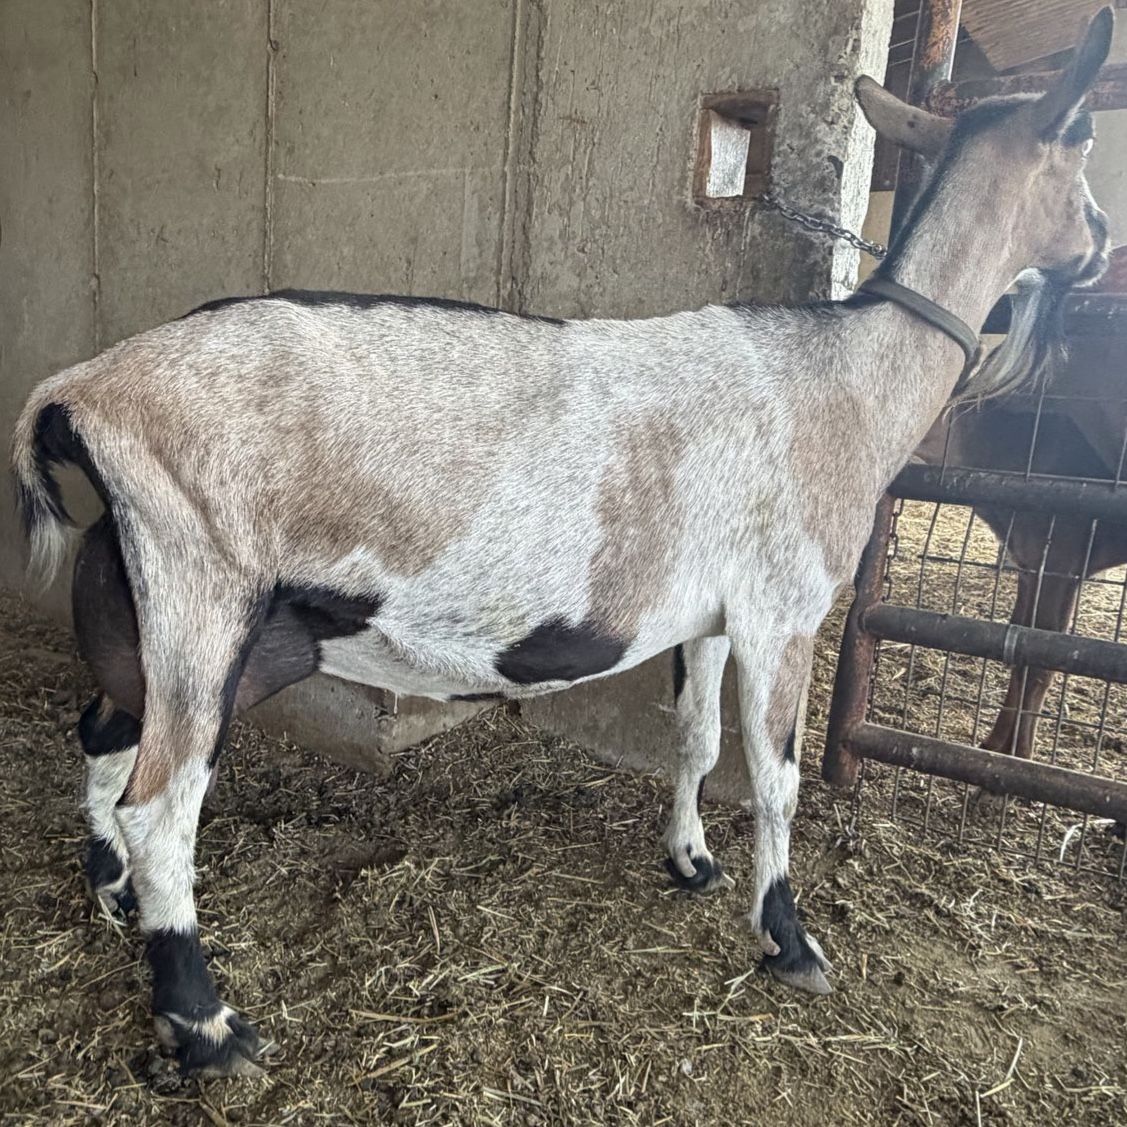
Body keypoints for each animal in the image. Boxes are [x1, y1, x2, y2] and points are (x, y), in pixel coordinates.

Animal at [916, 247, 1127, 764]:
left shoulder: (1065, 555)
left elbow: (1045, 655)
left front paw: (1019, 752)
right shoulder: (1031, 559)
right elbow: (1019, 641)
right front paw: (995, 743)